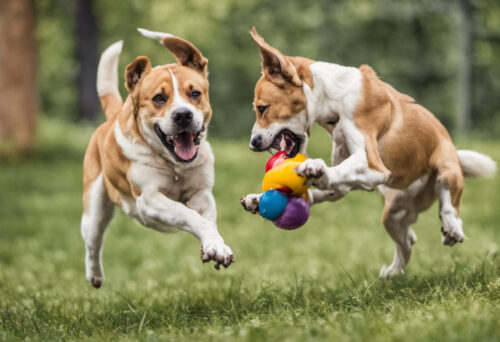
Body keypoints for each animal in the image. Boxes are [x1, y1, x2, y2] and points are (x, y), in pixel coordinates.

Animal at [81, 28, 234, 288]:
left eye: (195, 93)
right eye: (159, 98)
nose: (182, 115)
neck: (174, 165)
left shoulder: (201, 193)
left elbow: (208, 220)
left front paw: (215, 247)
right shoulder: (149, 198)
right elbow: (189, 215)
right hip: (94, 208)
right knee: (93, 241)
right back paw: (95, 275)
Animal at [242, 28, 496, 276]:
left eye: (262, 109)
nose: (253, 143)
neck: (333, 99)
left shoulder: (373, 165)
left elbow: (338, 171)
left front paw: (314, 168)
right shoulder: (350, 180)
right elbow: (329, 184)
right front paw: (258, 199)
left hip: (446, 168)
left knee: (447, 202)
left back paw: (452, 228)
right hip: (392, 213)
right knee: (407, 241)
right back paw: (394, 271)